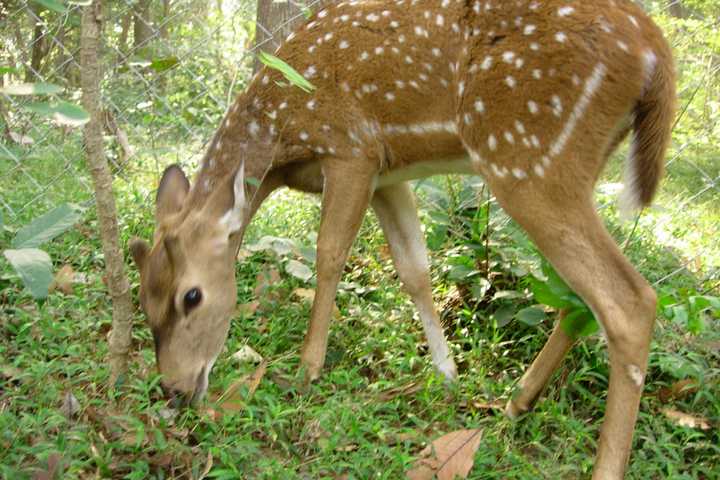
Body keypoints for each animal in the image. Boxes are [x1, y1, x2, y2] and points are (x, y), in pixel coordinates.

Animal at [129, 1, 676, 478]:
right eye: (143, 300)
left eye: (191, 296)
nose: (174, 388)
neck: (280, 128)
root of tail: (656, 54)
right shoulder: (387, 176)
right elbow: (414, 268)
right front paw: (447, 372)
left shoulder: (351, 148)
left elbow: (330, 254)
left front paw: (306, 370)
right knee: (583, 297)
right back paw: (516, 401)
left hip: (528, 155)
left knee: (629, 299)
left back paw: (601, 463)